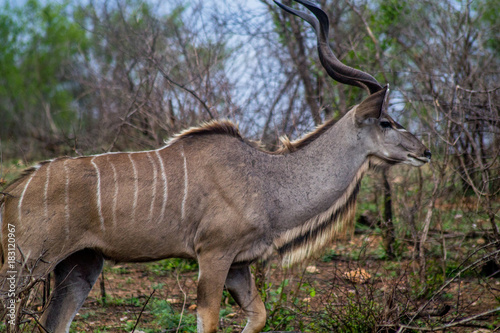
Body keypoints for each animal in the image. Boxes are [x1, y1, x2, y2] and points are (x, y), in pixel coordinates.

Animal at [0, 1, 430, 330]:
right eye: (387, 122)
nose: (424, 151)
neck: (267, 179)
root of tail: (13, 191)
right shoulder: (213, 256)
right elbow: (208, 320)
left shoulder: (239, 265)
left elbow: (259, 315)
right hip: (29, 263)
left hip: (80, 265)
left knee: (54, 321)